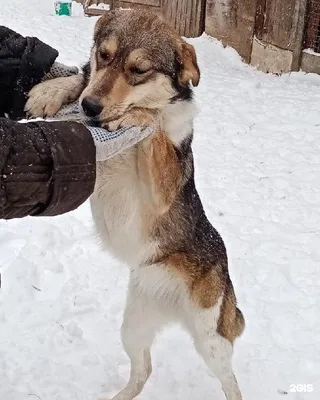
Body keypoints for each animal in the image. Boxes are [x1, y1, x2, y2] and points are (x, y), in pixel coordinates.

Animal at [25, 9, 245, 400]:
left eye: (139, 70)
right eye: (104, 55)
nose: (91, 107)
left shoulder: (163, 187)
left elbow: (154, 122)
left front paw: (139, 115)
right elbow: (80, 79)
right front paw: (53, 90)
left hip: (210, 341)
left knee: (230, 381)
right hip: (133, 326)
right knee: (143, 371)